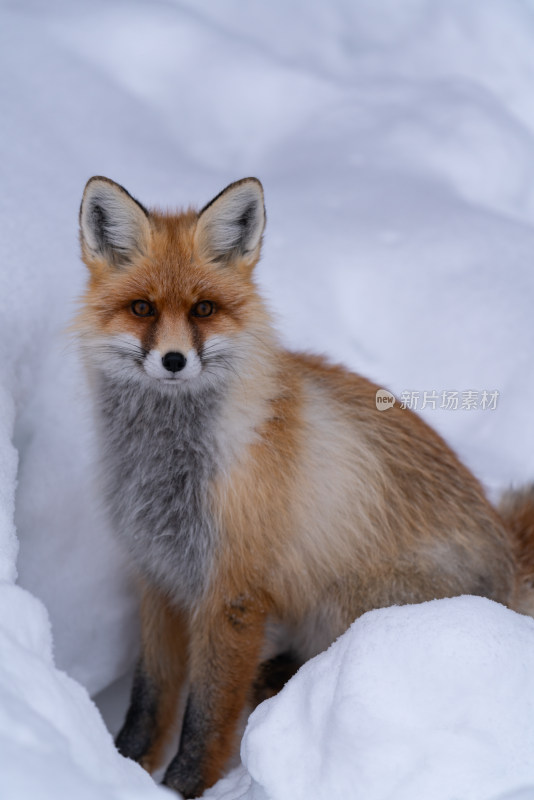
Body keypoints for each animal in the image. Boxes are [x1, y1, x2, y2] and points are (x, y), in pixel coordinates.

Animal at [78, 173, 534, 792]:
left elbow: (206, 716)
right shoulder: (159, 576)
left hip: (354, 599)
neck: (167, 470)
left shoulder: (233, 593)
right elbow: (149, 698)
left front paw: (183, 787)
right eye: (142, 308)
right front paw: (122, 766)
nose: (173, 360)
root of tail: (509, 561)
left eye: (204, 309)